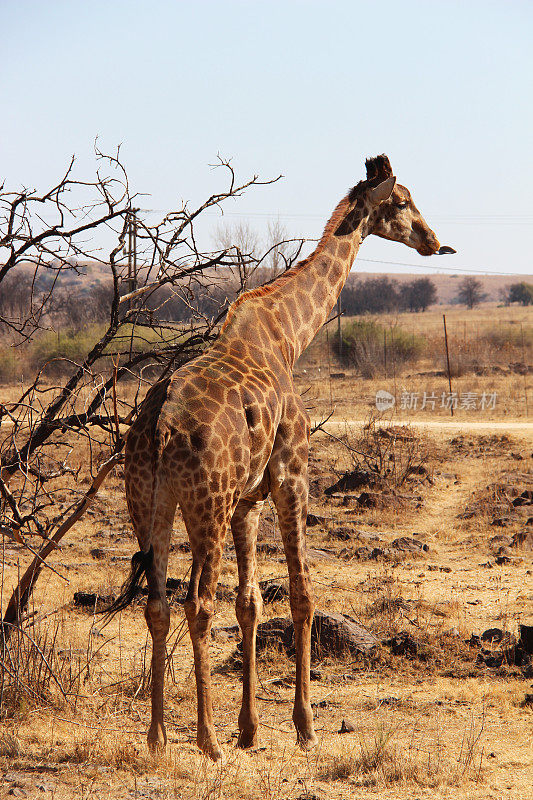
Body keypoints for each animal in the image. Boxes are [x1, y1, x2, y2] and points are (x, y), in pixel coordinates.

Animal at [115, 153, 454, 760]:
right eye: (402, 201)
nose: (433, 241)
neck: (290, 337)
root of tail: (161, 429)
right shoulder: (291, 474)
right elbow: (301, 594)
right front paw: (303, 725)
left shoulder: (248, 501)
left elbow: (250, 602)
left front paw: (250, 728)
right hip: (206, 505)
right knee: (197, 604)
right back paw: (205, 741)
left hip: (150, 504)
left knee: (157, 605)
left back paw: (156, 738)